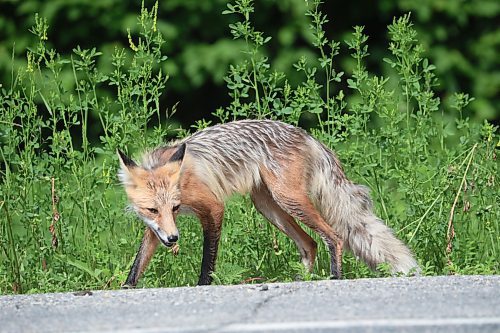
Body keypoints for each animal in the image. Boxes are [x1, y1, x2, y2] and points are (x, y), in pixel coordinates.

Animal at [117, 119, 418, 286]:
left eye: (176, 207)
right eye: (152, 209)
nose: (173, 240)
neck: (181, 181)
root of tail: (307, 135)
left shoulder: (212, 207)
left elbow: (208, 260)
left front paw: (203, 285)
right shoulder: (158, 227)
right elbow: (138, 263)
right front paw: (126, 288)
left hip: (288, 199)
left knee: (334, 236)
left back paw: (335, 277)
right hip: (270, 208)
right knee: (310, 244)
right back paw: (302, 280)